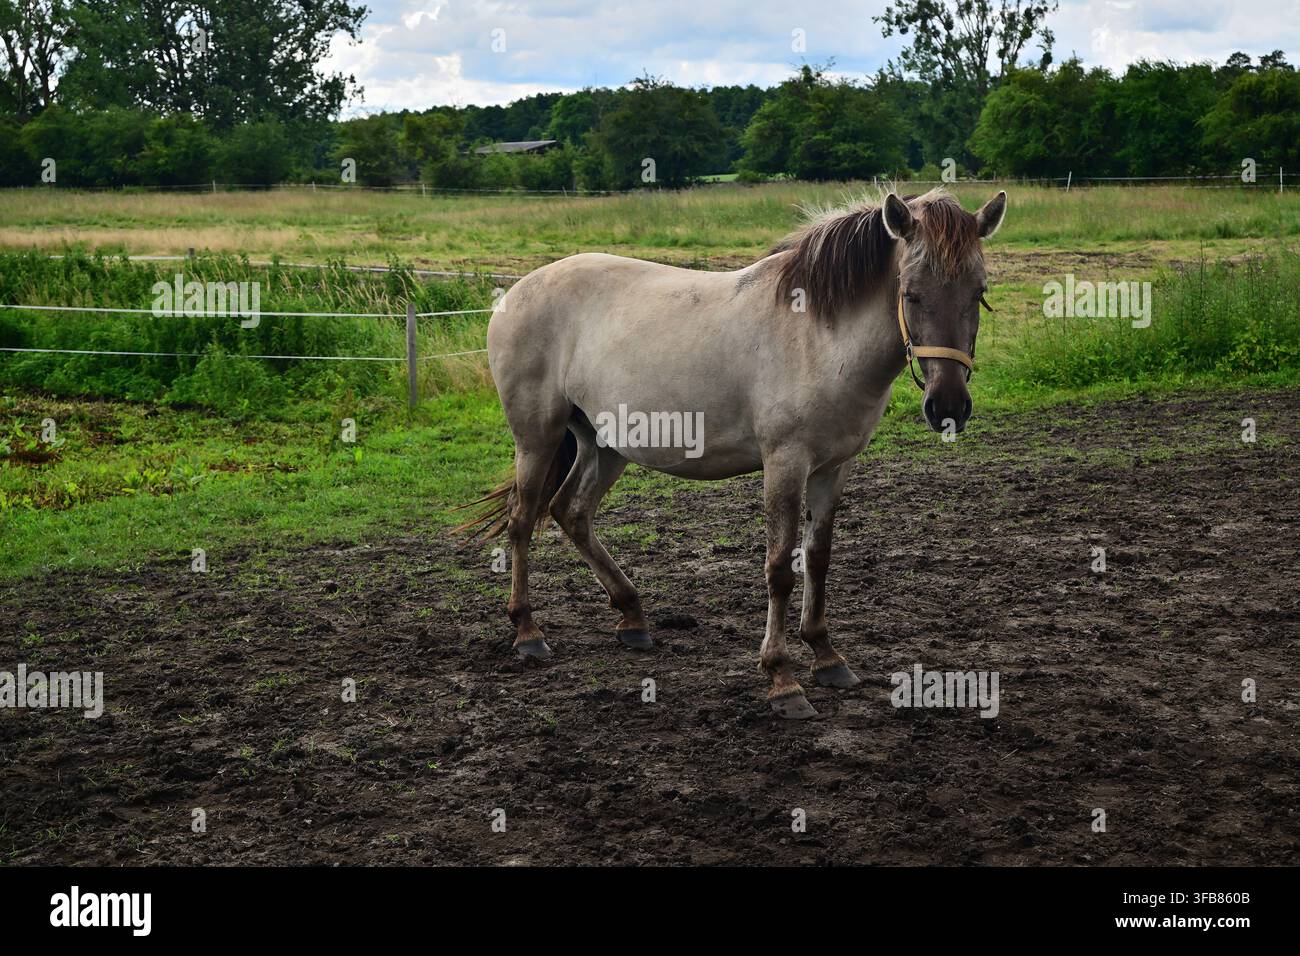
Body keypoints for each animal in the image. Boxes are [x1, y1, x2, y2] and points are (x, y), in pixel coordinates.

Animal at [459, 187, 1006, 719]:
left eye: (978, 293)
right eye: (910, 293)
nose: (948, 406)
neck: (818, 335)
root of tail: (517, 292)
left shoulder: (833, 468)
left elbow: (819, 557)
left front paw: (827, 656)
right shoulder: (785, 464)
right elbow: (780, 567)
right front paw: (783, 679)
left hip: (604, 444)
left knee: (571, 511)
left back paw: (632, 617)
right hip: (537, 437)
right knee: (523, 519)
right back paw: (528, 633)